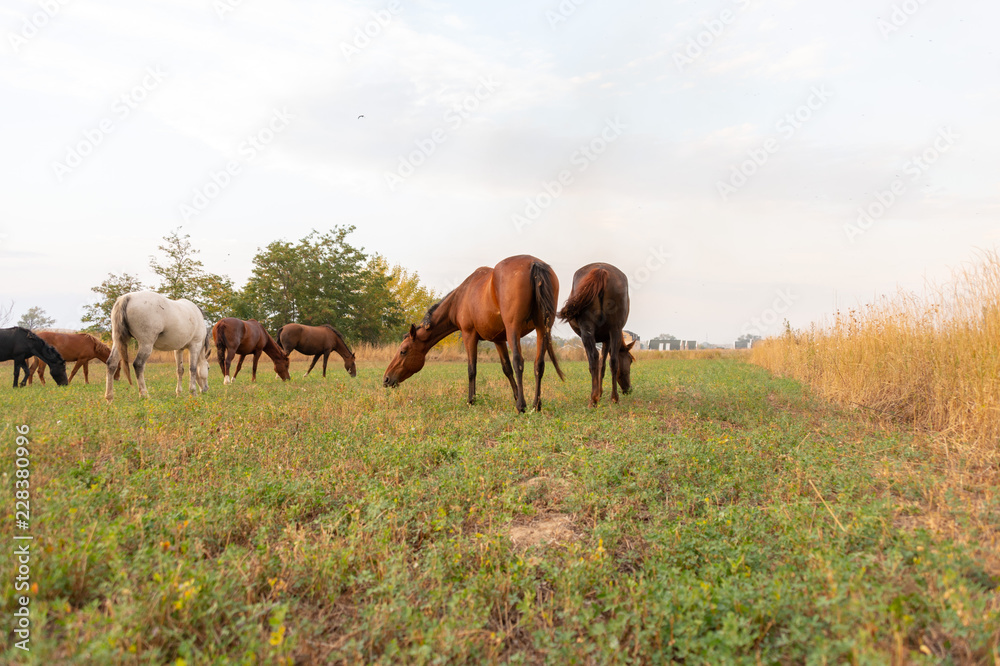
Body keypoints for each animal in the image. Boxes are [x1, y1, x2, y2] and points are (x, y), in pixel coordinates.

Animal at [384, 254, 564, 410]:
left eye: (403, 351)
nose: (386, 379)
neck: (459, 299)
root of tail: (534, 263)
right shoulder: (499, 340)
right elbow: (506, 369)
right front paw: (515, 396)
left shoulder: (469, 335)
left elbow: (472, 369)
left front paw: (471, 400)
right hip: (542, 329)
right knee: (538, 365)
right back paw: (536, 405)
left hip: (514, 329)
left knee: (519, 362)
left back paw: (521, 407)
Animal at [556, 262, 632, 408]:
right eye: (630, 360)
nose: (629, 389)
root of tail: (601, 270)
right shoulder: (608, 338)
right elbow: (604, 365)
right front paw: (600, 392)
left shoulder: (597, 338)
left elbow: (598, 365)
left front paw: (598, 392)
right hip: (614, 330)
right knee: (613, 361)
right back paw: (614, 398)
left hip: (588, 331)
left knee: (594, 358)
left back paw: (594, 399)